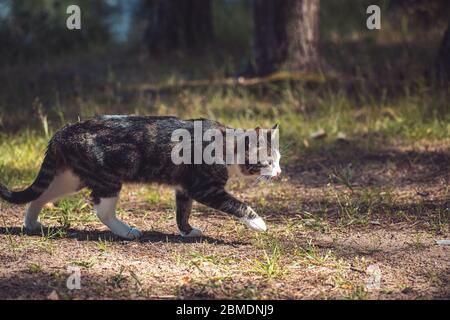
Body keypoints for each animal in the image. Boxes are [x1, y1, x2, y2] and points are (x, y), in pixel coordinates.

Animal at [0, 116, 282, 239]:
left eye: (279, 160)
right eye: (269, 161)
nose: (279, 172)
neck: (225, 145)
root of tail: (63, 131)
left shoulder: (185, 188)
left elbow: (183, 211)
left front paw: (187, 231)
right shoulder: (205, 188)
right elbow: (237, 204)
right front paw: (258, 222)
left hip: (72, 178)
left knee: (40, 196)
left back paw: (30, 223)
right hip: (109, 177)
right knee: (102, 211)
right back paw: (126, 232)